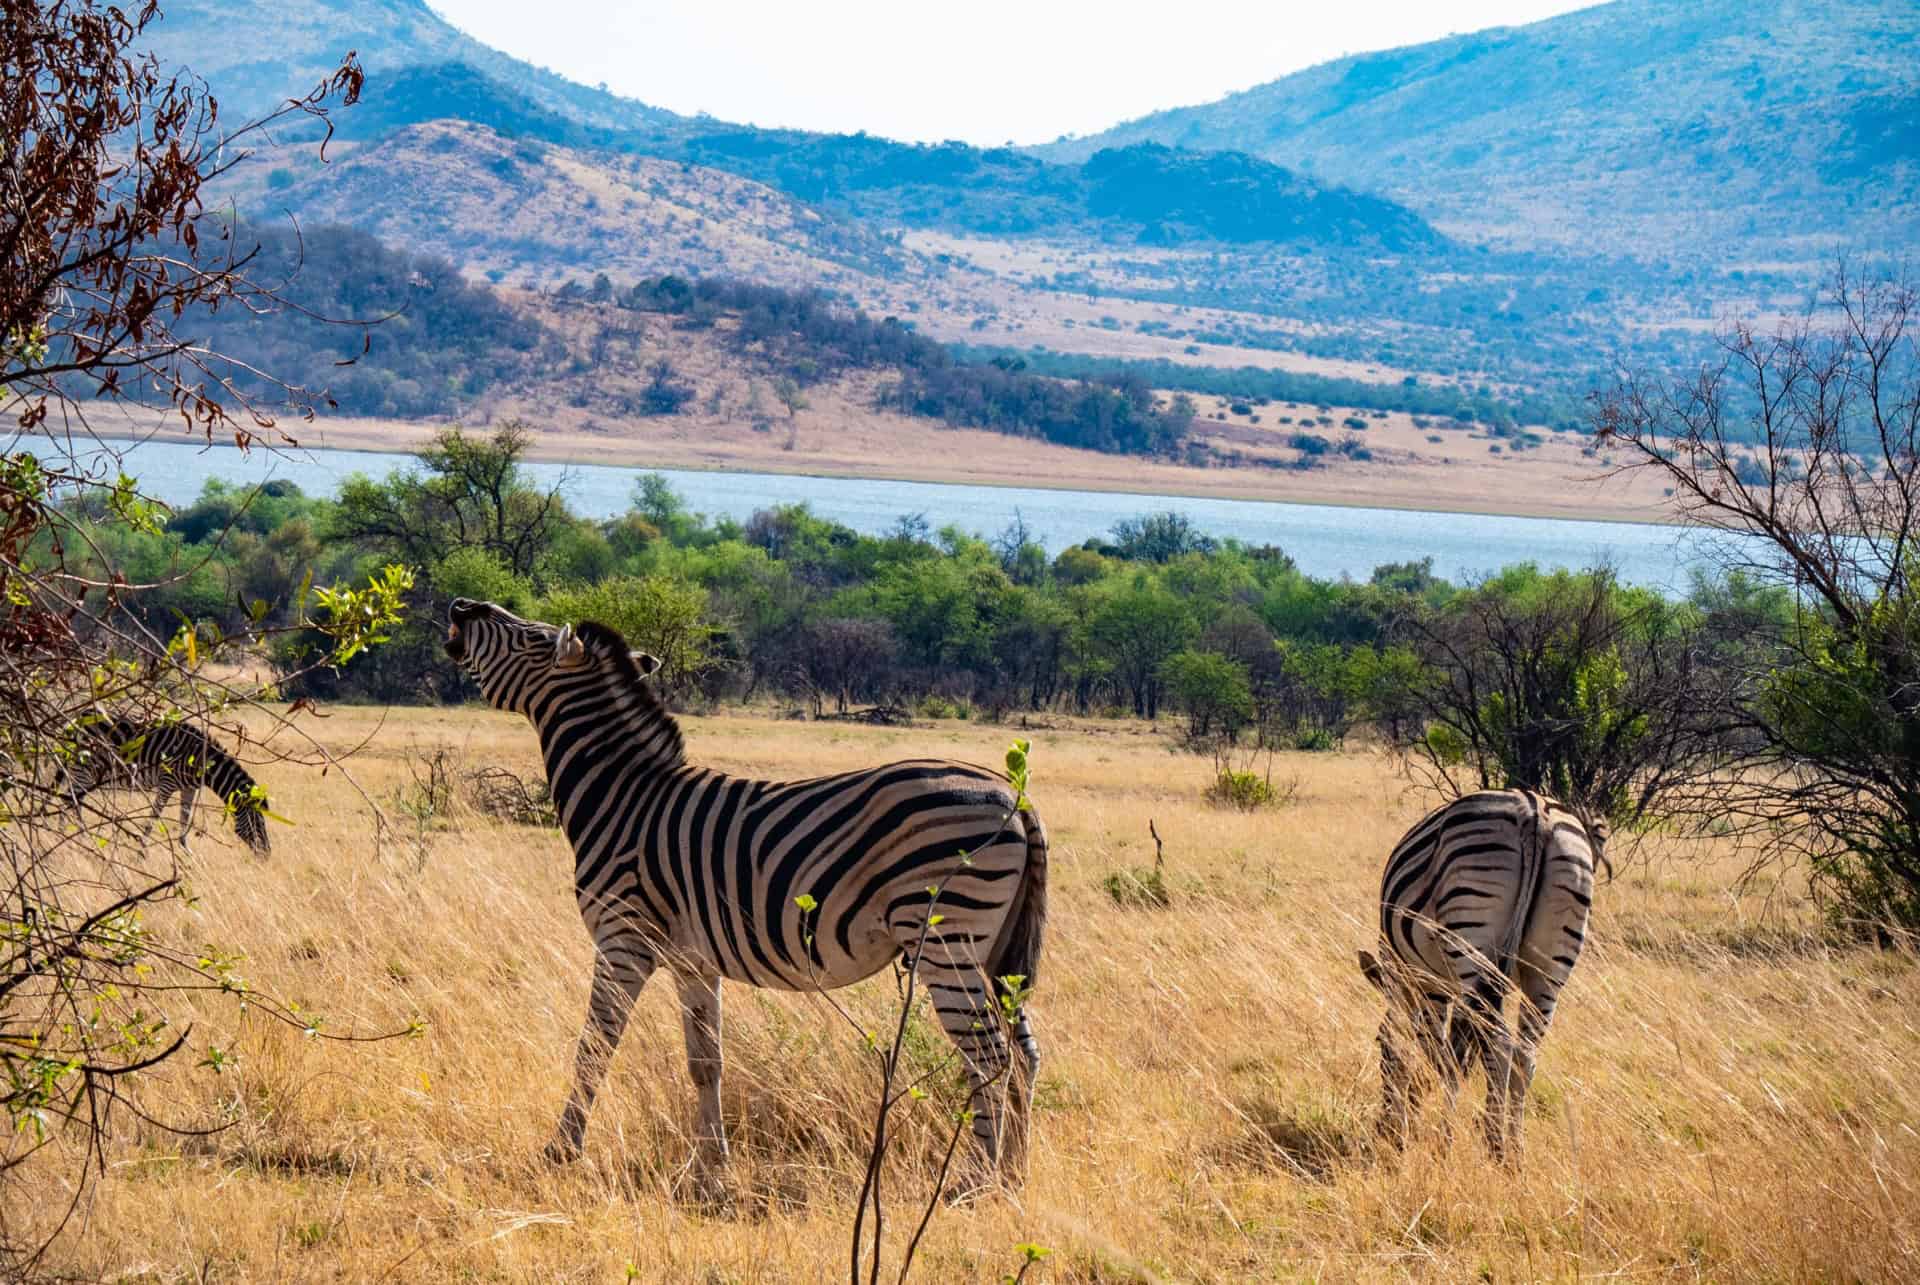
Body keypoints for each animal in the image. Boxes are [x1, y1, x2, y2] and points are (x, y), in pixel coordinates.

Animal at [57, 710, 274, 852]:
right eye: (258, 821)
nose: (266, 854)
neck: (203, 762)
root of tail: (74, 719)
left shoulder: (190, 788)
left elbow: (185, 818)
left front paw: (186, 853)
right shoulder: (167, 783)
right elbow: (155, 815)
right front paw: (142, 851)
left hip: (83, 772)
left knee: (70, 799)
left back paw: (68, 837)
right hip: (85, 769)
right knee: (70, 800)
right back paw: (79, 839)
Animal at [439, 599, 1052, 1190]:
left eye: (531, 637)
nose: (461, 605)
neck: (622, 796)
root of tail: (1014, 796)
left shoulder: (623, 939)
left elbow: (594, 1047)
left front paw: (561, 1151)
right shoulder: (692, 960)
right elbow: (705, 1062)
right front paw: (711, 1170)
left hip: (947, 937)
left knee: (989, 1054)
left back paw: (976, 1180)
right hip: (995, 950)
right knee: (1023, 1053)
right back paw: (1015, 1174)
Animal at [1351, 787, 1605, 1160]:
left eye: (1380, 1046)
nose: (1384, 1131)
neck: (1403, 984)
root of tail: (1534, 813)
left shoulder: (1432, 984)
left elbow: (1438, 1052)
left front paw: (1430, 1131)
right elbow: (1459, 1051)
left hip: (1470, 932)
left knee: (1494, 1049)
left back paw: (1487, 1142)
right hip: (1549, 966)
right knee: (1524, 1056)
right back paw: (1512, 1151)